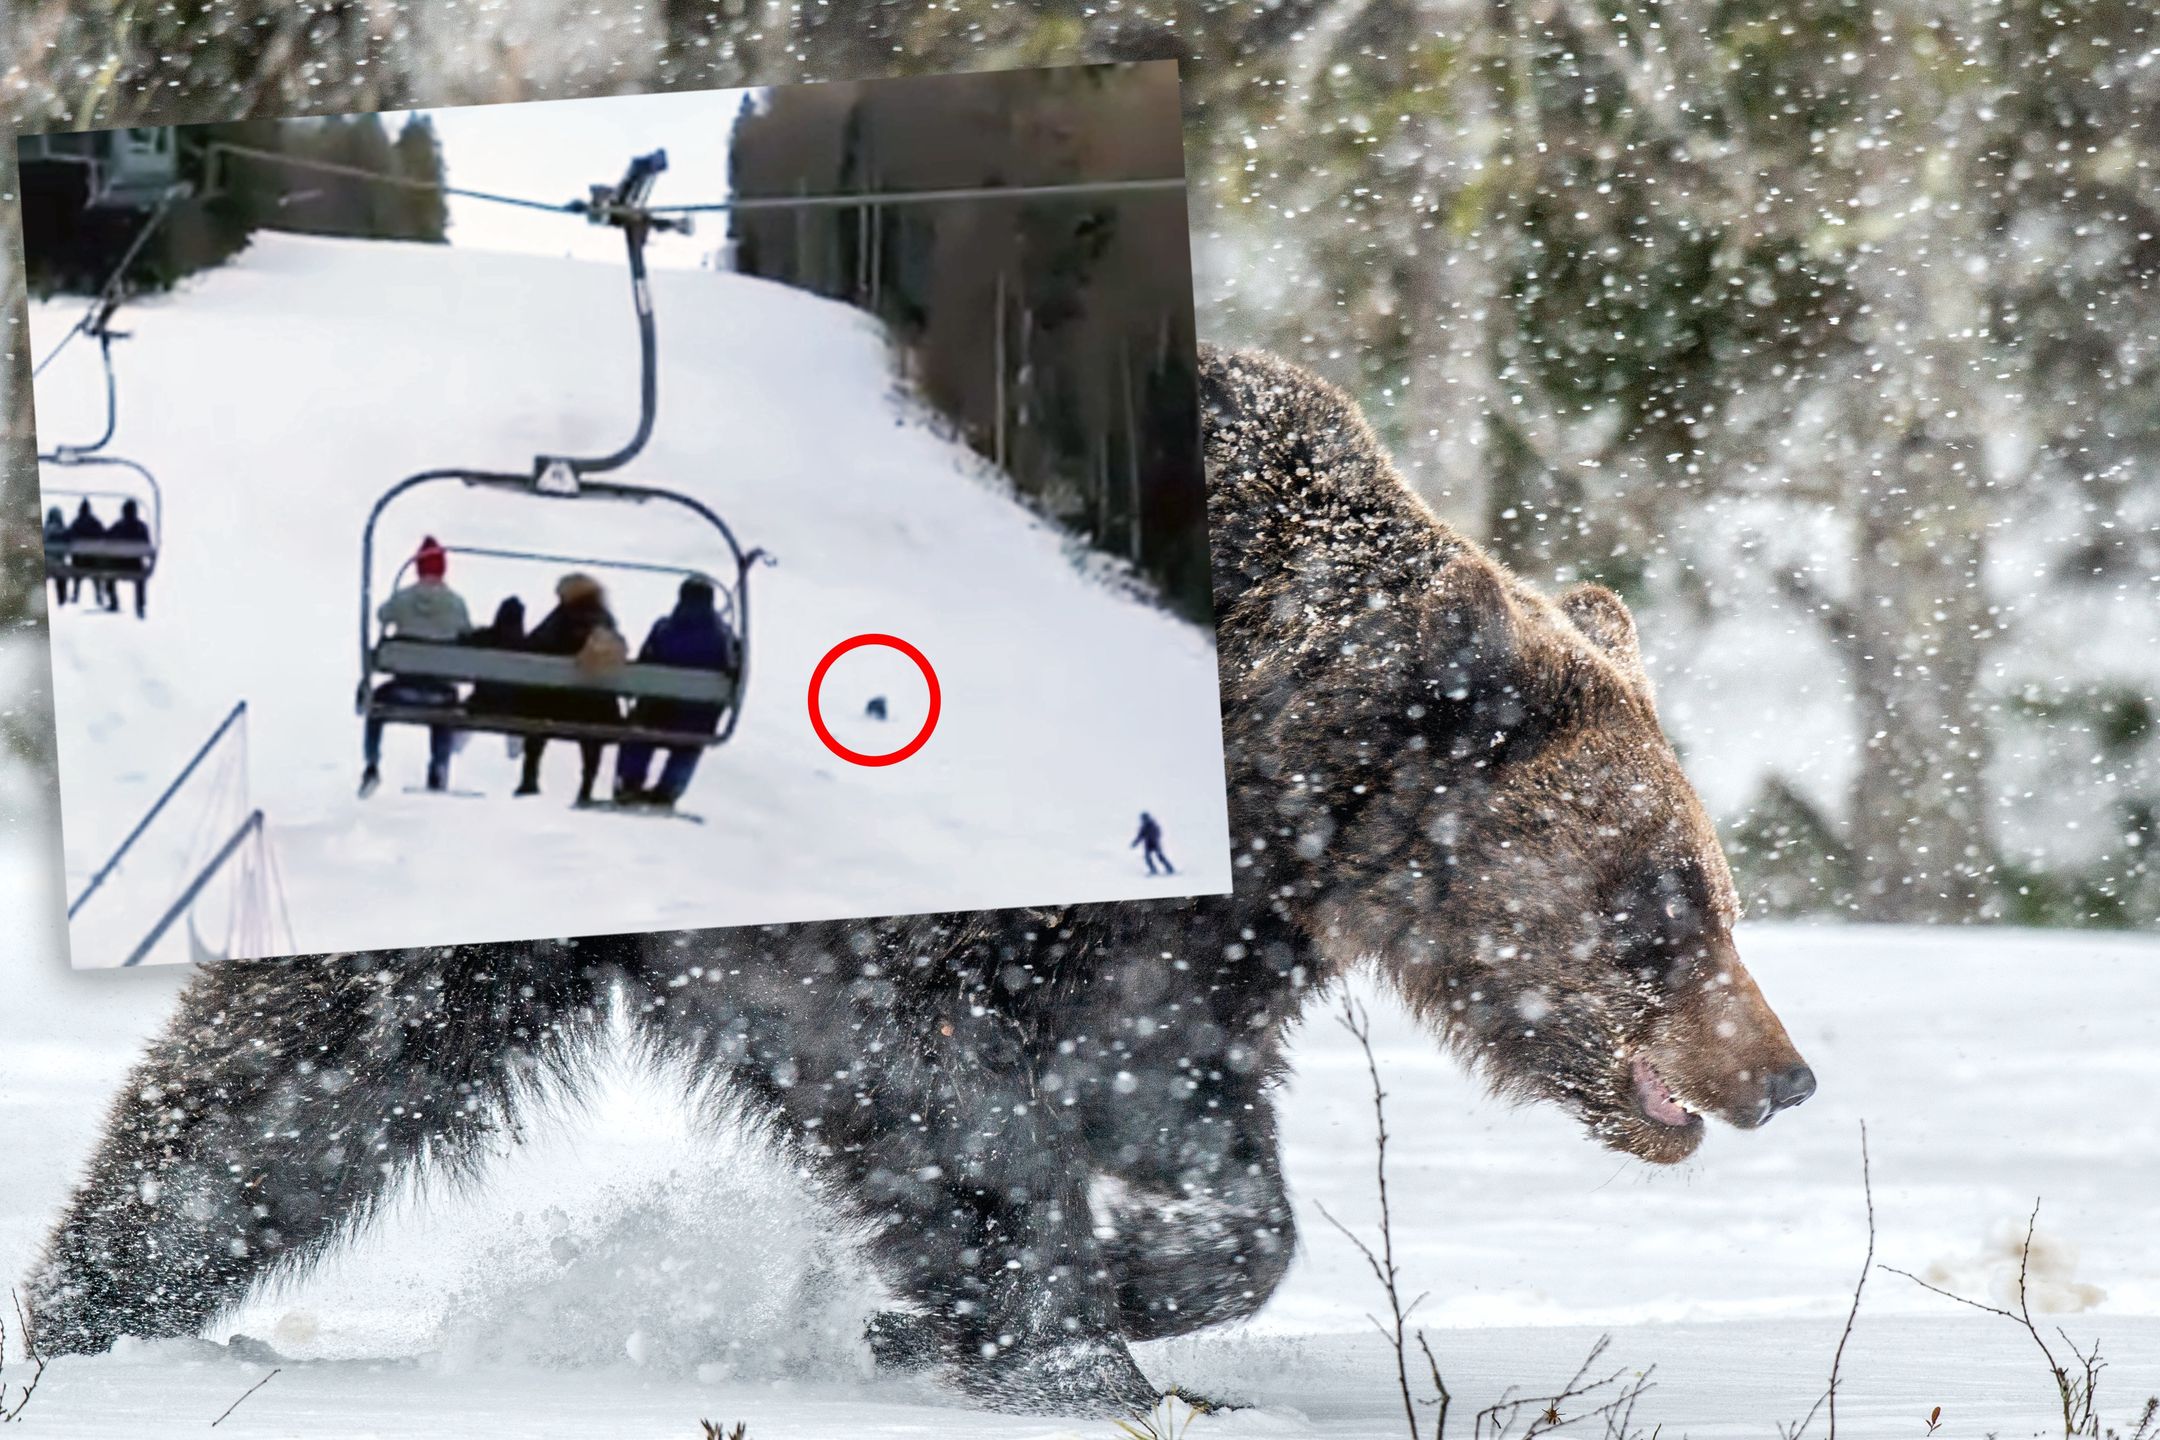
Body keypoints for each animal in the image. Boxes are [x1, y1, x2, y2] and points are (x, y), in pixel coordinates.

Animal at [25, 345, 1814, 1407]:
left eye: (1717, 890)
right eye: (1668, 898)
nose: (1784, 1071)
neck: (1278, 767)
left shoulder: (1197, 939)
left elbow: (1201, 1135)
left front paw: (1090, 1297)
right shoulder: (892, 913)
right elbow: (925, 1086)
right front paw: (1046, 1335)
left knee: (297, 1093)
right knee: (308, 1067)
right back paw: (86, 1302)